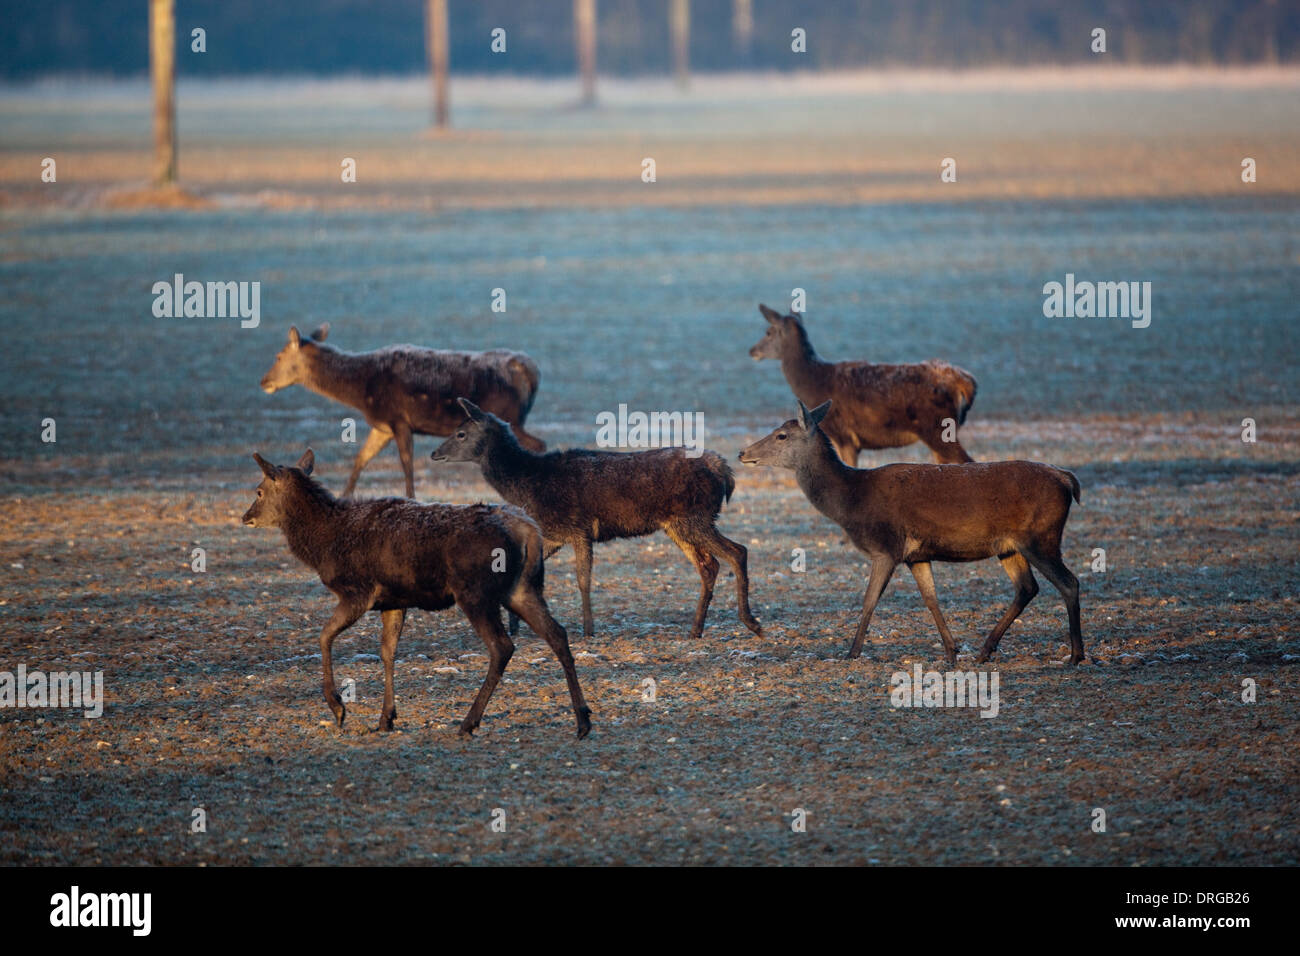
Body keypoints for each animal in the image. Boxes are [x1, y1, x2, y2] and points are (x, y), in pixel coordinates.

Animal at [241, 447, 592, 738]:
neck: (323, 545)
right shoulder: (394, 601)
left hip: (475, 591)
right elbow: (388, 652)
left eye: (259, 490)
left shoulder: (358, 592)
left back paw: (468, 722)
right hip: (521, 588)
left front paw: (339, 708)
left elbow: (325, 636)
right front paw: (386, 718)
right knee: (557, 633)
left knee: (502, 646)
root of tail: (529, 531)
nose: (246, 517)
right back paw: (583, 720)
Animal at [261, 323, 546, 496]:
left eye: (278, 356)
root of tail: (531, 371)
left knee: (537, 445)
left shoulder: (399, 420)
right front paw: (343, 496)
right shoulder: (383, 427)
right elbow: (361, 459)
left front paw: (411, 498)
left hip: (510, 417)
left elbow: (406, 465)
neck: (361, 391)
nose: (264, 381)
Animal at [431, 395, 764, 642]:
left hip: (695, 517)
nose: (434, 453)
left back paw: (751, 622)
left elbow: (583, 579)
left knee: (737, 552)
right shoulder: (553, 534)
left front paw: (588, 629)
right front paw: (515, 625)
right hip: (679, 525)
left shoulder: (578, 529)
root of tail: (723, 471)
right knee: (709, 566)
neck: (529, 485)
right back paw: (695, 629)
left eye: (461, 433)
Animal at [738, 403, 1081, 665]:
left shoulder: (886, 547)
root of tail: (1068, 479)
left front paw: (851, 653)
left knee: (1069, 582)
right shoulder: (916, 555)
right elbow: (931, 599)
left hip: (1041, 538)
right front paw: (951, 652)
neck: (851, 501)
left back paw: (1076, 655)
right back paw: (984, 651)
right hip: (1009, 546)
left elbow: (869, 600)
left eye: (782, 435)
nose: (742, 452)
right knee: (1027, 587)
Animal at [748, 306, 977, 468]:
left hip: (939, 428)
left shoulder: (844, 435)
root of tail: (966, 383)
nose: (752, 350)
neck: (814, 383)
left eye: (768, 332)